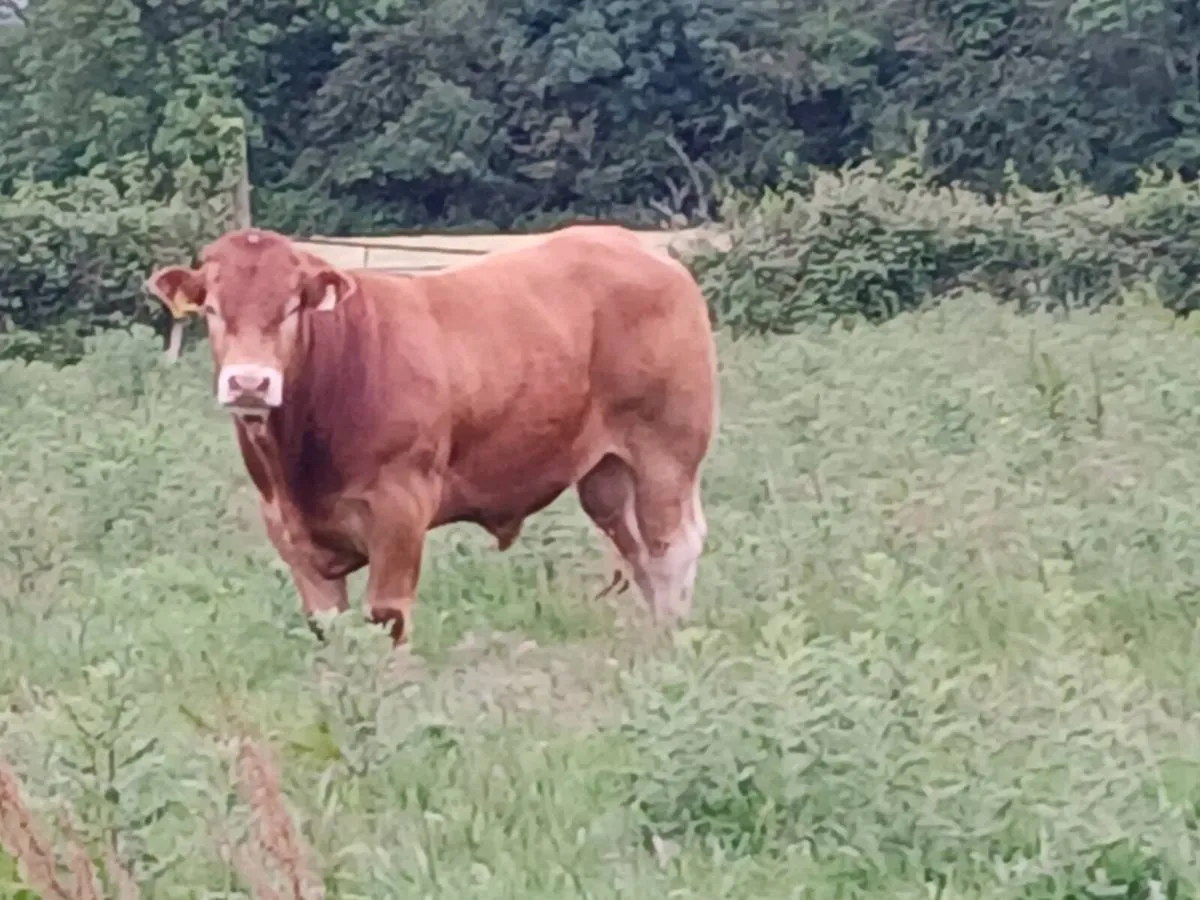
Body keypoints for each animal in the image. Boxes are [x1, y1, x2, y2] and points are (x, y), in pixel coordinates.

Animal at [144, 224, 719, 646]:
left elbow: (388, 619)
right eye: (212, 309)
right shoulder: (290, 535)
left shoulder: (399, 511)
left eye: (291, 307)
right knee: (638, 551)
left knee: (671, 549)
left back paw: (673, 643)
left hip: (666, 452)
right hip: (606, 474)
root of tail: (636, 247)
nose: (249, 382)